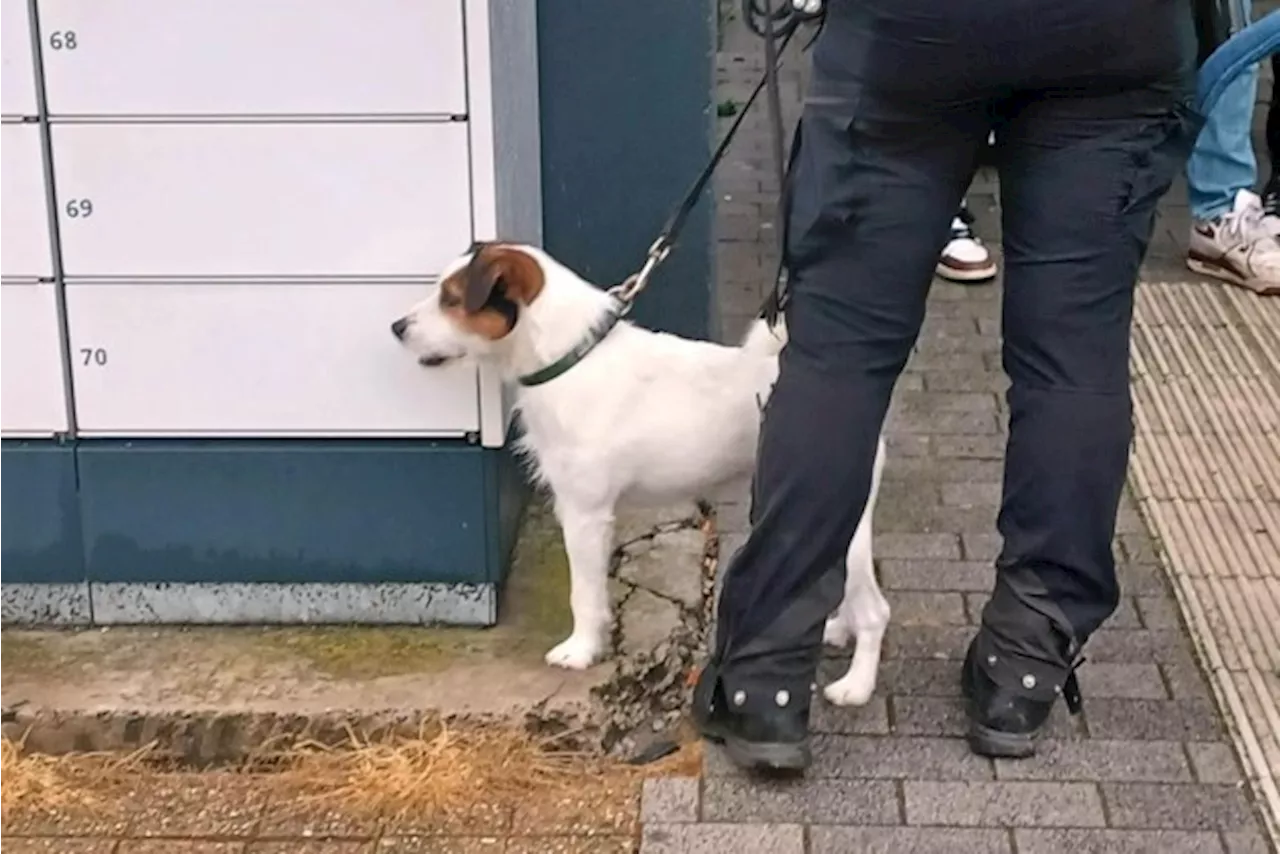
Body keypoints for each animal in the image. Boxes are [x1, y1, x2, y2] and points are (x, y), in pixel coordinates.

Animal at [389, 241, 890, 706]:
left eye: (452, 299)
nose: (397, 327)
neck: (570, 359)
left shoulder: (586, 514)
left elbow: (583, 592)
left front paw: (580, 651)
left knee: (876, 611)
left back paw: (856, 686)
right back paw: (837, 629)